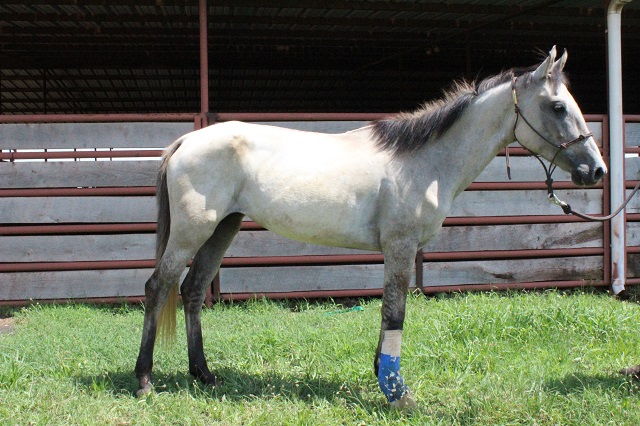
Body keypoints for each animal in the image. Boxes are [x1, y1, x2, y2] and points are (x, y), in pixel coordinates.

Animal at [134, 47, 604, 410]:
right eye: (558, 107)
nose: (595, 170)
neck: (423, 161)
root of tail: (186, 141)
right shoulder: (399, 245)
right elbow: (395, 313)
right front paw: (397, 393)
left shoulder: (400, 251)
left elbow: (389, 310)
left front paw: (382, 375)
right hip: (193, 231)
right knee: (158, 287)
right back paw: (144, 381)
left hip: (222, 229)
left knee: (193, 290)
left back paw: (204, 374)